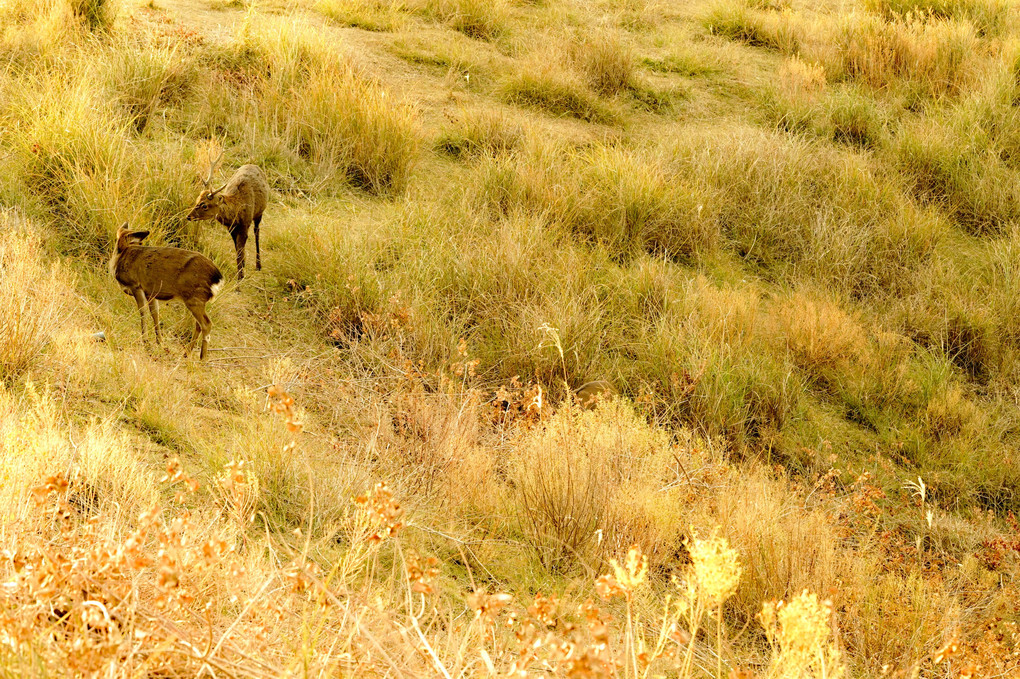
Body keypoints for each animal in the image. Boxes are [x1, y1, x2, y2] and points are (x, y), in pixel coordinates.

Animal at [110, 222, 224, 358]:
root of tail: (218, 278)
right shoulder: (151, 292)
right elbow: (155, 313)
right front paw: (160, 342)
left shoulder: (136, 285)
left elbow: (143, 312)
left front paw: (146, 342)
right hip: (198, 299)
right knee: (199, 324)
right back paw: (187, 353)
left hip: (194, 298)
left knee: (206, 324)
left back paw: (202, 358)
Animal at [186, 150, 269, 279]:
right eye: (197, 200)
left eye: (204, 205)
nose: (189, 216)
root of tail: (254, 165)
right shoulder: (231, 228)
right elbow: (237, 249)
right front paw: (241, 268)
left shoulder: (245, 224)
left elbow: (240, 251)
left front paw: (240, 277)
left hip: (260, 212)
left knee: (257, 232)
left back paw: (258, 265)